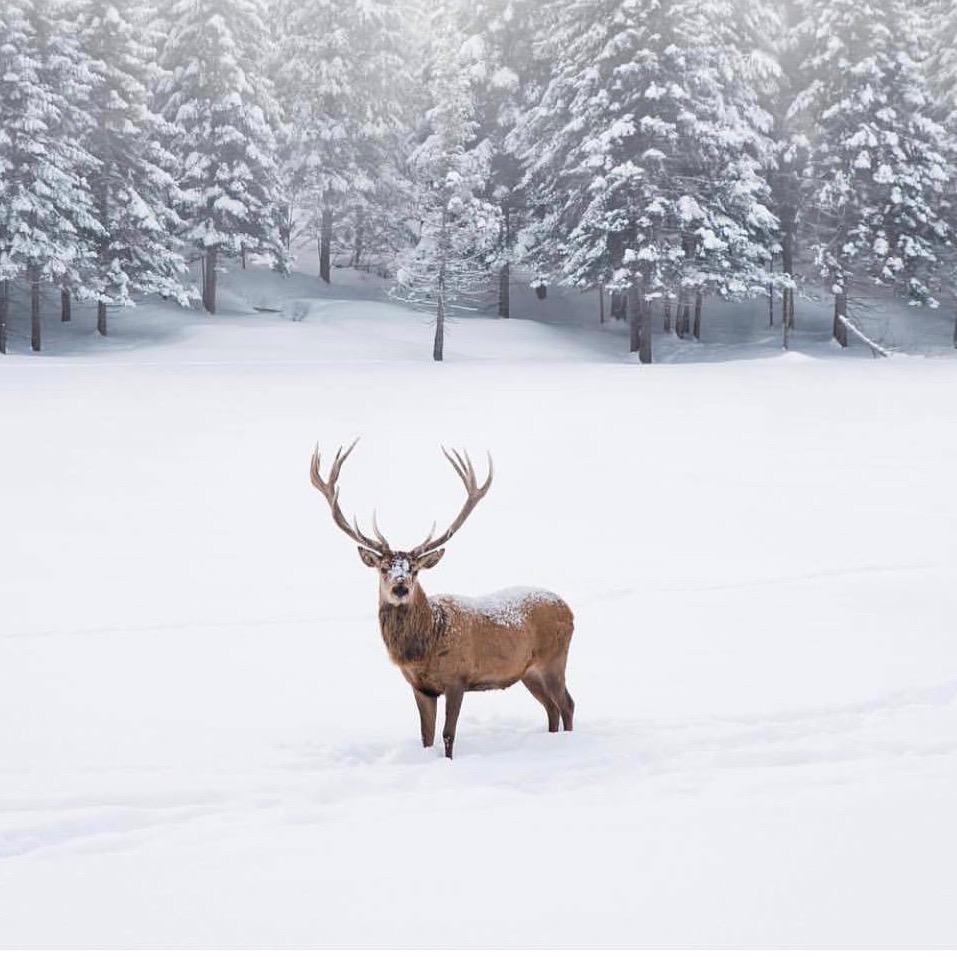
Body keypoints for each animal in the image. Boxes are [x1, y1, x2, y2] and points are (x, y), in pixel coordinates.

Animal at [310, 436, 572, 760]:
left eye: (414, 570)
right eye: (385, 568)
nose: (400, 587)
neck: (424, 645)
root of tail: (569, 609)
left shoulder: (457, 679)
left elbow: (448, 735)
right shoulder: (420, 687)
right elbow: (426, 736)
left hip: (554, 658)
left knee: (567, 704)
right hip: (529, 671)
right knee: (552, 707)